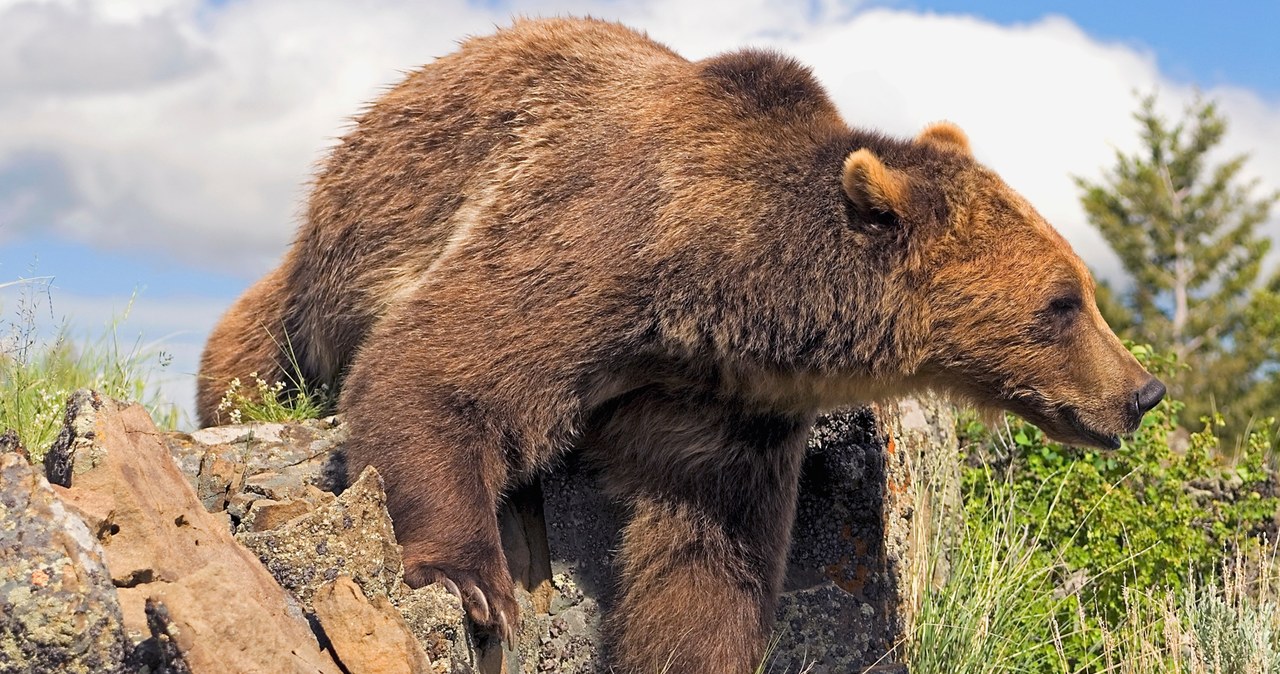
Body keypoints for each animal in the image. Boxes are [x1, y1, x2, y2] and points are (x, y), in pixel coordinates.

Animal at [194, 15, 1167, 674]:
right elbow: (439, 368)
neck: (715, 291)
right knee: (250, 350)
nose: (1142, 392)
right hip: (321, 272)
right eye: (1064, 301)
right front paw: (477, 585)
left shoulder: (721, 405)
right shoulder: (591, 243)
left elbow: (703, 556)